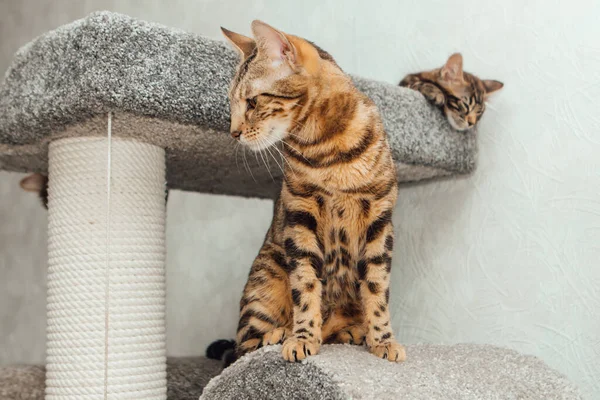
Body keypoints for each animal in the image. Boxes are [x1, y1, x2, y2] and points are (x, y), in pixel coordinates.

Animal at [213, 21, 406, 366]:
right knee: (242, 345)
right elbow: (305, 284)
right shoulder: (300, 214)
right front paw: (302, 337)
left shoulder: (380, 219)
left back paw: (350, 332)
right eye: (232, 104)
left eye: (252, 102)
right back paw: (278, 335)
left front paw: (383, 340)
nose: (234, 133)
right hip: (265, 280)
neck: (327, 148)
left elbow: (376, 286)